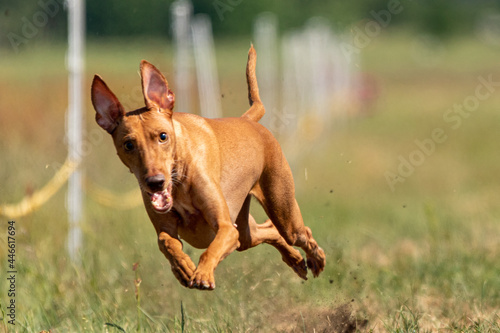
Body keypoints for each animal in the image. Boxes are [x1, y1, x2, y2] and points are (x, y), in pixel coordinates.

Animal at [91, 45, 326, 290]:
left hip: (282, 212)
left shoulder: (226, 228)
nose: (155, 182)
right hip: (245, 232)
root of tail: (248, 120)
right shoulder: (168, 227)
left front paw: (202, 274)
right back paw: (296, 260)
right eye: (128, 144)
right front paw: (183, 268)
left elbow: (210, 250)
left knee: (299, 232)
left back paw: (316, 258)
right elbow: (166, 241)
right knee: (269, 231)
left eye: (163, 136)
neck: (179, 178)